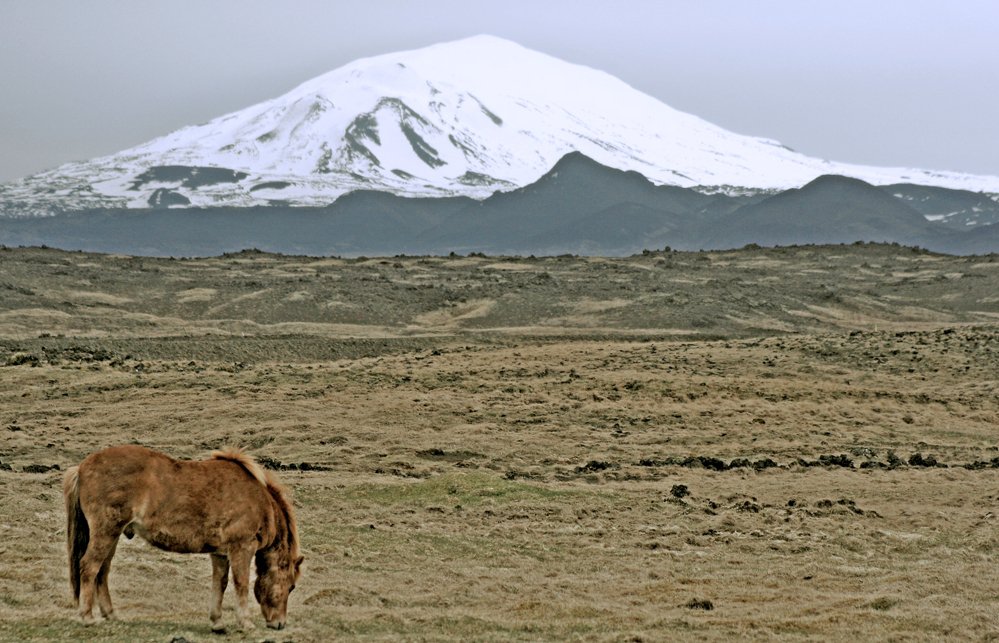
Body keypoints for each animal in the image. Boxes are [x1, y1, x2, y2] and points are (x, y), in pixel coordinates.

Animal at [64, 446, 302, 632]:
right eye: (291, 587)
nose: (279, 624)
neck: (259, 500)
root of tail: (82, 467)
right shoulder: (241, 548)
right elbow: (241, 583)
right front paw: (245, 623)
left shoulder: (220, 553)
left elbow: (220, 583)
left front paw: (217, 622)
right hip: (106, 532)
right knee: (90, 567)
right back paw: (87, 617)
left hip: (112, 536)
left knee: (102, 571)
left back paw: (110, 614)